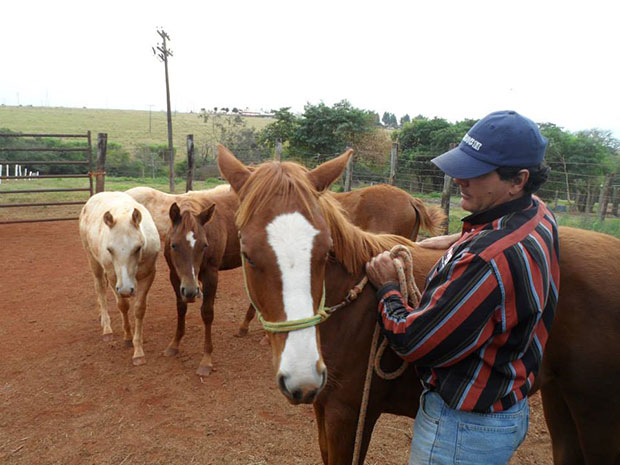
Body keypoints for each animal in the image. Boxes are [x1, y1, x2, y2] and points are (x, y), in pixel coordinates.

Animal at [78, 190, 160, 364]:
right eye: (110, 249)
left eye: (138, 248)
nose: (126, 289)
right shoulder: (113, 277)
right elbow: (123, 305)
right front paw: (128, 337)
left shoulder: (149, 275)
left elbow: (139, 309)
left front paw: (138, 351)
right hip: (92, 260)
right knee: (100, 288)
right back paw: (106, 328)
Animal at [218, 147, 620, 462]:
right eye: (247, 254)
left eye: (325, 250)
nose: (302, 375)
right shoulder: (323, 409)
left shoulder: (349, 416)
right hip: (561, 403)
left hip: (598, 417)